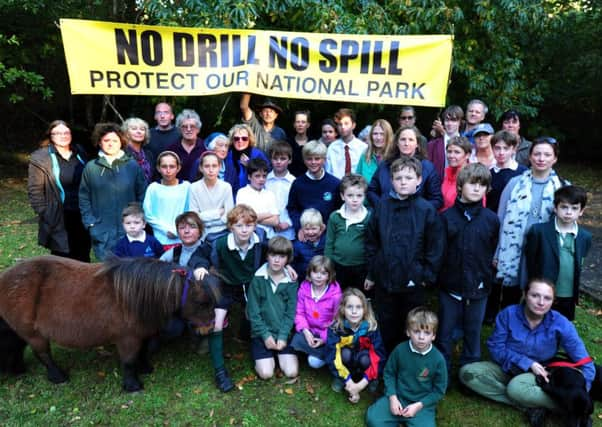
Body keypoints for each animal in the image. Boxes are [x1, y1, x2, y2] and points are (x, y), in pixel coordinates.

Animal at [0, 256, 219, 392]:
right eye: (202, 302)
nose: (210, 327)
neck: (135, 296)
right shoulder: (127, 339)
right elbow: (129, 361)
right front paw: (132, 386)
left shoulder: (141, 335)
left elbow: (141, 354)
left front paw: (145, 369)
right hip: (33, 334)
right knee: (43, 355)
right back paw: (58, 376)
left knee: (18, 348)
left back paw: (18, 369)